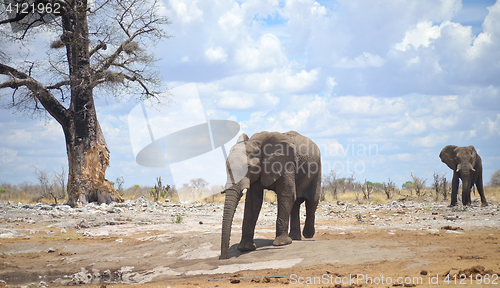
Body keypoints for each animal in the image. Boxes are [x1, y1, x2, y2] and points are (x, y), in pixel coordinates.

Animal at [219, 130, 320, 258]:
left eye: (248, 168)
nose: (223, 258)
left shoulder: (287, 164)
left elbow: (286, 195)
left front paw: (281, 244)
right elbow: (253, 201)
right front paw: (245, 248)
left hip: (317, 169)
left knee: (312, 201)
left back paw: (307, 235)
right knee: (296, 203)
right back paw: (294, 238)